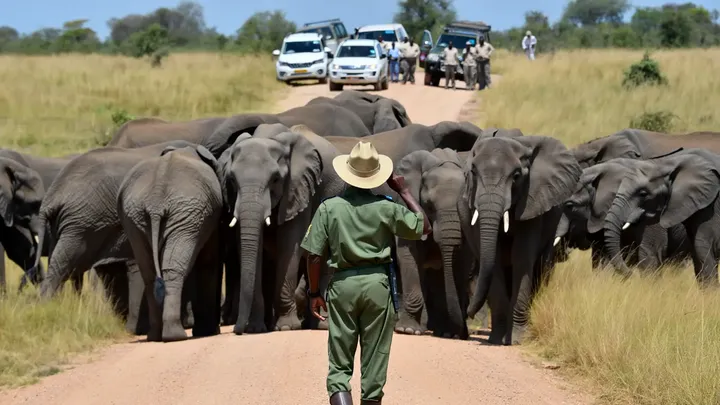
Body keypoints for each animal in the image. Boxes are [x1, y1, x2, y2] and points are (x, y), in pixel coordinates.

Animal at [117, 143, 223, 342]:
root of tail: (156, 201)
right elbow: (208, 262)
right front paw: (208, 331)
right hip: (184, 213)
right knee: (173, 270)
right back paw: (175, 335)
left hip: (137, 218)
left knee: (150, 274)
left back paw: (155, 336)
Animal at [216, 123, 344, 335]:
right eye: (232, 180)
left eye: (275, 179)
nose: (236, 329)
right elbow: (252, 248)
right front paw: (256, 329)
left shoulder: (298, 189)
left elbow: (289, 245)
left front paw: (286, 327)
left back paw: (321, 326)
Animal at [392, 148, 475, 339]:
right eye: (429, 205)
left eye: (463, 204)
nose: (462, 333)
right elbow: (408, 254)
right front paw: (407, 330)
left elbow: (461, 263)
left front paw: (451, 333)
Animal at [460, 134, 582, 345]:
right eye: (473, 172)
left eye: (516, 176)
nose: (468, 313)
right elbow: (495, 261)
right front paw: (496, 340)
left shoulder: (532, 201)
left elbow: (522, 258)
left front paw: (517, 340)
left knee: (539, 268)